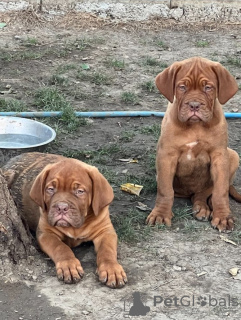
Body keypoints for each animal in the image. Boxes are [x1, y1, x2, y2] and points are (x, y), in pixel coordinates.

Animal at [1, 152, 127, 288]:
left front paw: (112, 269)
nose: (61, 207)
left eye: (80, 191)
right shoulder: (46, 233)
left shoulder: (106, 231)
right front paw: (69, 266)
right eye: (50, 189)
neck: (77, 227)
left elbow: (107, 250)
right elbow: (61, 247)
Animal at [147, 57, 241, 232]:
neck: (195, 126)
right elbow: (165, 190)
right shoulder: (166, 156)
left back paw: (202, 208)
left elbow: (220, 191)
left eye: (208, 87)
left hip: (232, 155)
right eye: (182, 87)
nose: (194, 105)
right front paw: (160, 215)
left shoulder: (219, 156)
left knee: (204, 193)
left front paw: (223, 217)